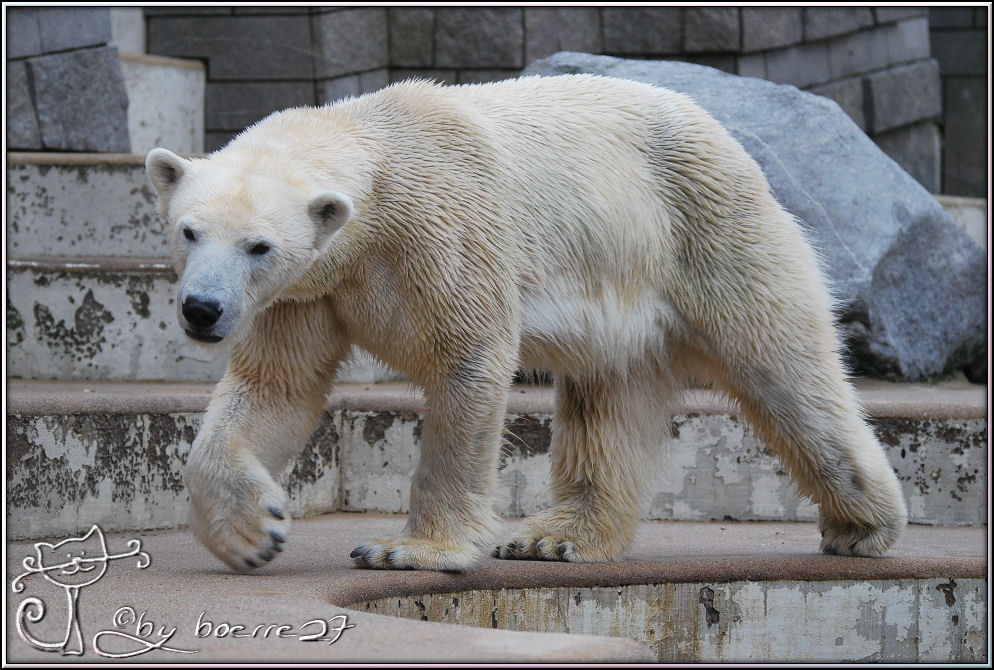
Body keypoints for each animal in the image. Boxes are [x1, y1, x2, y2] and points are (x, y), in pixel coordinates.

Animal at [145, 76, 908, 576]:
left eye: (259, 246)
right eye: (189, 230)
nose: (203, 309)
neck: (382, 152)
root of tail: (723, 134)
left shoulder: (442, 228)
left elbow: (468, 358)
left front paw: (408, 550)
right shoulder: (307, 293)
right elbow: (276, 388)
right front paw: (253, 532)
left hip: (708, 229)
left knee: (783, 366)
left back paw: (862, 524)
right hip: (625, 297)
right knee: (608, 403)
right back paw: (557, 537)